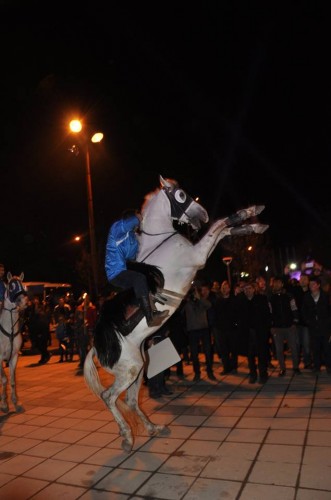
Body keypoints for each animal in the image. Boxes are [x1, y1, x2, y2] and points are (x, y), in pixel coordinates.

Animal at [84, 174, 268, 452]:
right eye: (181, 195)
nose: (202, 215)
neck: (162, 242)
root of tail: (96, 347)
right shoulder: (198, 256)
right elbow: (219, 225)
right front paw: (247, 214)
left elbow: (223, 230)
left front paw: (253, 221)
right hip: (129, 370)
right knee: (109, 397)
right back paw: (127, 437)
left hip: (139, 368)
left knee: (131, 400)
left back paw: (153, 428)